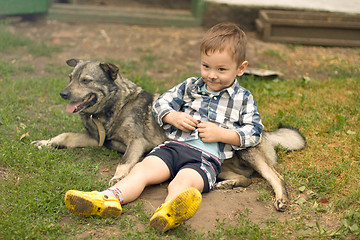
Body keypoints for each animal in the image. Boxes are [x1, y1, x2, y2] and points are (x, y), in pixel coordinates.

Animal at [32, 59, 306, 211]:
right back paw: (228, 184)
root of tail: (264, 132)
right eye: (70, 78)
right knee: (244, 179)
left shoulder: (137, 142)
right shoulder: (95, 139)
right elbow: (65, 136)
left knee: (275, 176)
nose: (63, 93)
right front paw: (44, 143)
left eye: (86, 81)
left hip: (247, 152)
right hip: (222, 167)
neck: (114, 106)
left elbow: (124, 164)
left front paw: (117, 177)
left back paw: (282, 199)